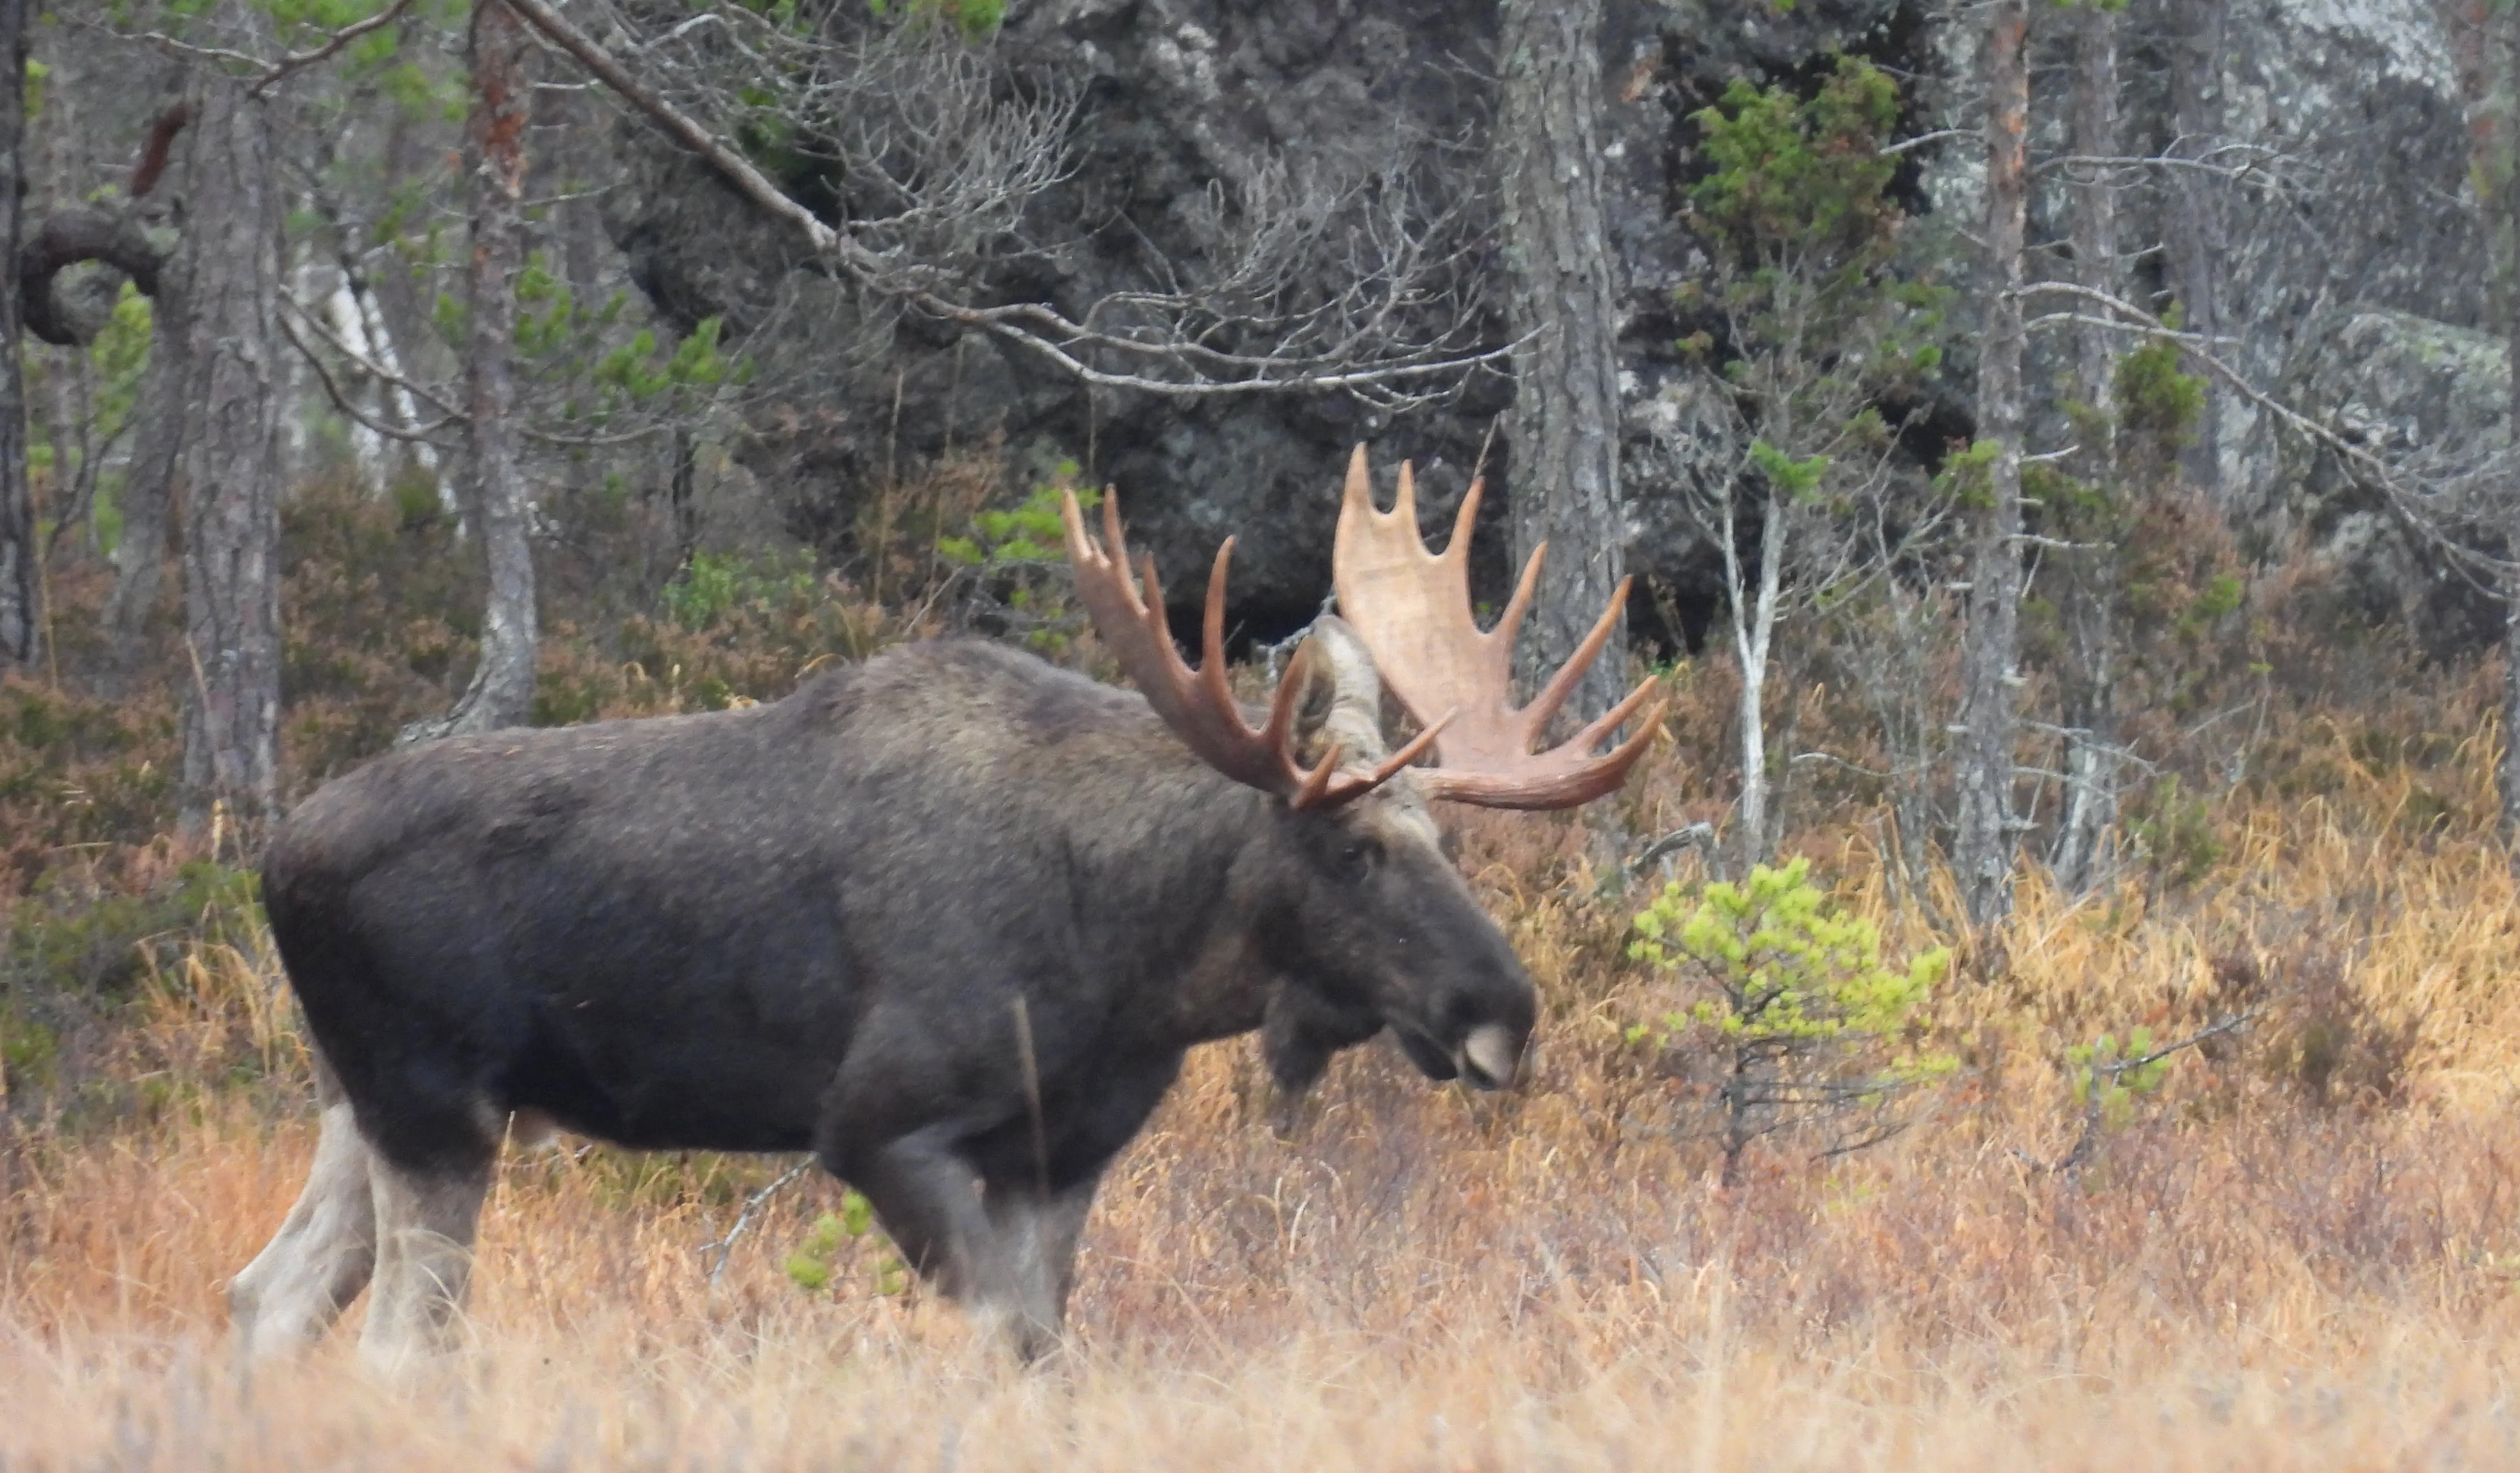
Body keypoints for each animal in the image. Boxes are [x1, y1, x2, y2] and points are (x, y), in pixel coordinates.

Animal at [228, 446, 1664, 1369]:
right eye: (1355, 846)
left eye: (1447, 838)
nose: (1503, 1008)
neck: (1133, 969)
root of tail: (271, 858)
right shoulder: (878, 1123)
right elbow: (994, 1343)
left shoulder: (1058, 1153)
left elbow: (1044, 1353)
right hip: (437, 1103)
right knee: (395, 1344)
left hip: (364, 1103)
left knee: (267, 1294)